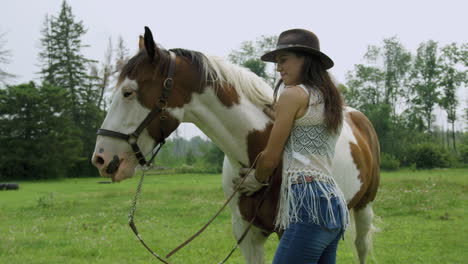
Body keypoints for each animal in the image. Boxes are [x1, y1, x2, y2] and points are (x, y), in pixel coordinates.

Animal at [92, 27, 380, 264]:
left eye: (128, 92)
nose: (102, 159)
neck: (257, 149)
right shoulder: (247, 234)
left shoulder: (287, 231)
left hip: (364, 208)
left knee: (362, 247)